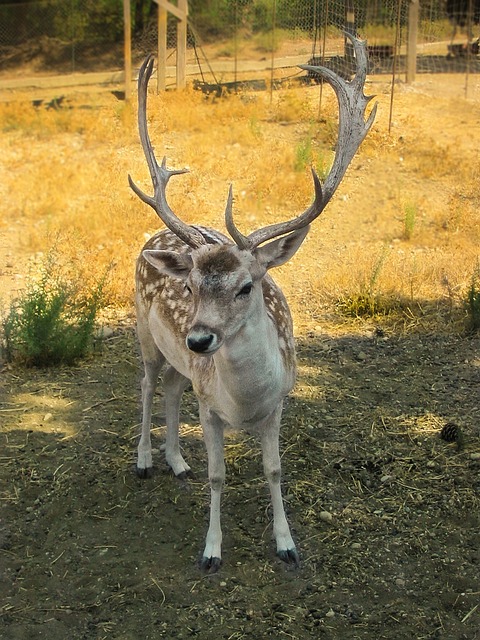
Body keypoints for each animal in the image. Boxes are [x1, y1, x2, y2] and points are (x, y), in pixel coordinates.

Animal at [129, 33, 376, 576]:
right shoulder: (210, 409)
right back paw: (145, 460)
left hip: (181, 365)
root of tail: (153, 239)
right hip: (144, 335)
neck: (244, 403)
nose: (199, 338)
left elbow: (275, 470)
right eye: (192, 287)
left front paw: (287, 544)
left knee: (173, 389)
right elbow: (219, 477)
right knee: (149, 385)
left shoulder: (278, 404)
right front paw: (211, 551)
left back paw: (177, 462)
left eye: (247, 286)